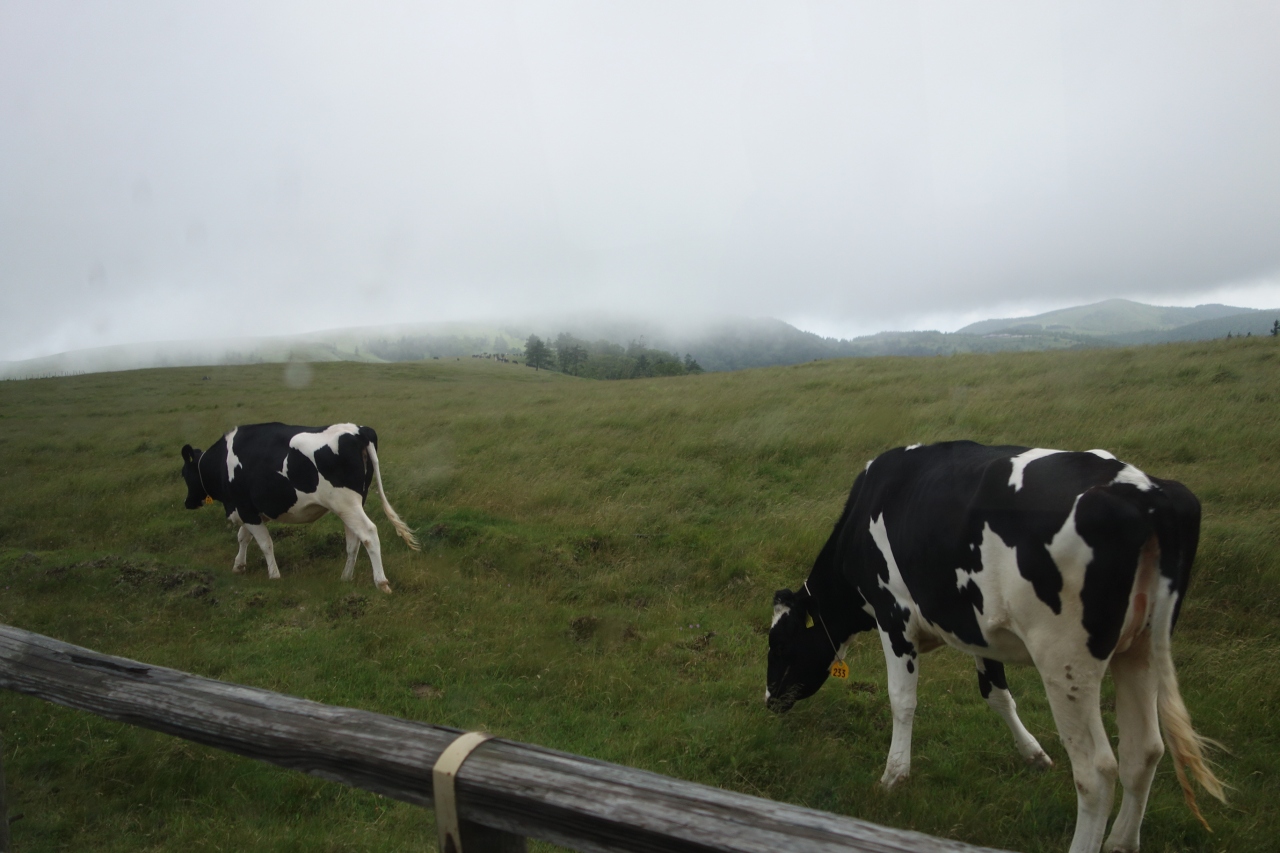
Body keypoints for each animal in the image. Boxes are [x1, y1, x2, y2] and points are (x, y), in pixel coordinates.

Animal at [179, 420, 419, 591]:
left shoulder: (245, 508)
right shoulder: (250, 510)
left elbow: (265, 543)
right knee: (354, 540)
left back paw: (381, 582)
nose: (187, 503)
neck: (221, 462)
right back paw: (345, 577)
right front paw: (239, 566)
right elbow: (243, 537)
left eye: (184, 474)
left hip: (346, 502)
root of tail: (359, 430)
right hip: (351, 505)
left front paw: (274, 575)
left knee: (368, 533)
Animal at [762, 438, 1223, 850]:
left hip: (1066, 662)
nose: (769, 700)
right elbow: (996, 694)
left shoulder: (894, 616)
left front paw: (894, 776)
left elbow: (902, 700)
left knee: (1096, 771)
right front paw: (1033, 754)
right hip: (1141, 649)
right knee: (1144, 751)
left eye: (779, 643)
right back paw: (1121, 843)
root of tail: (1147, 494)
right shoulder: (979, 629)